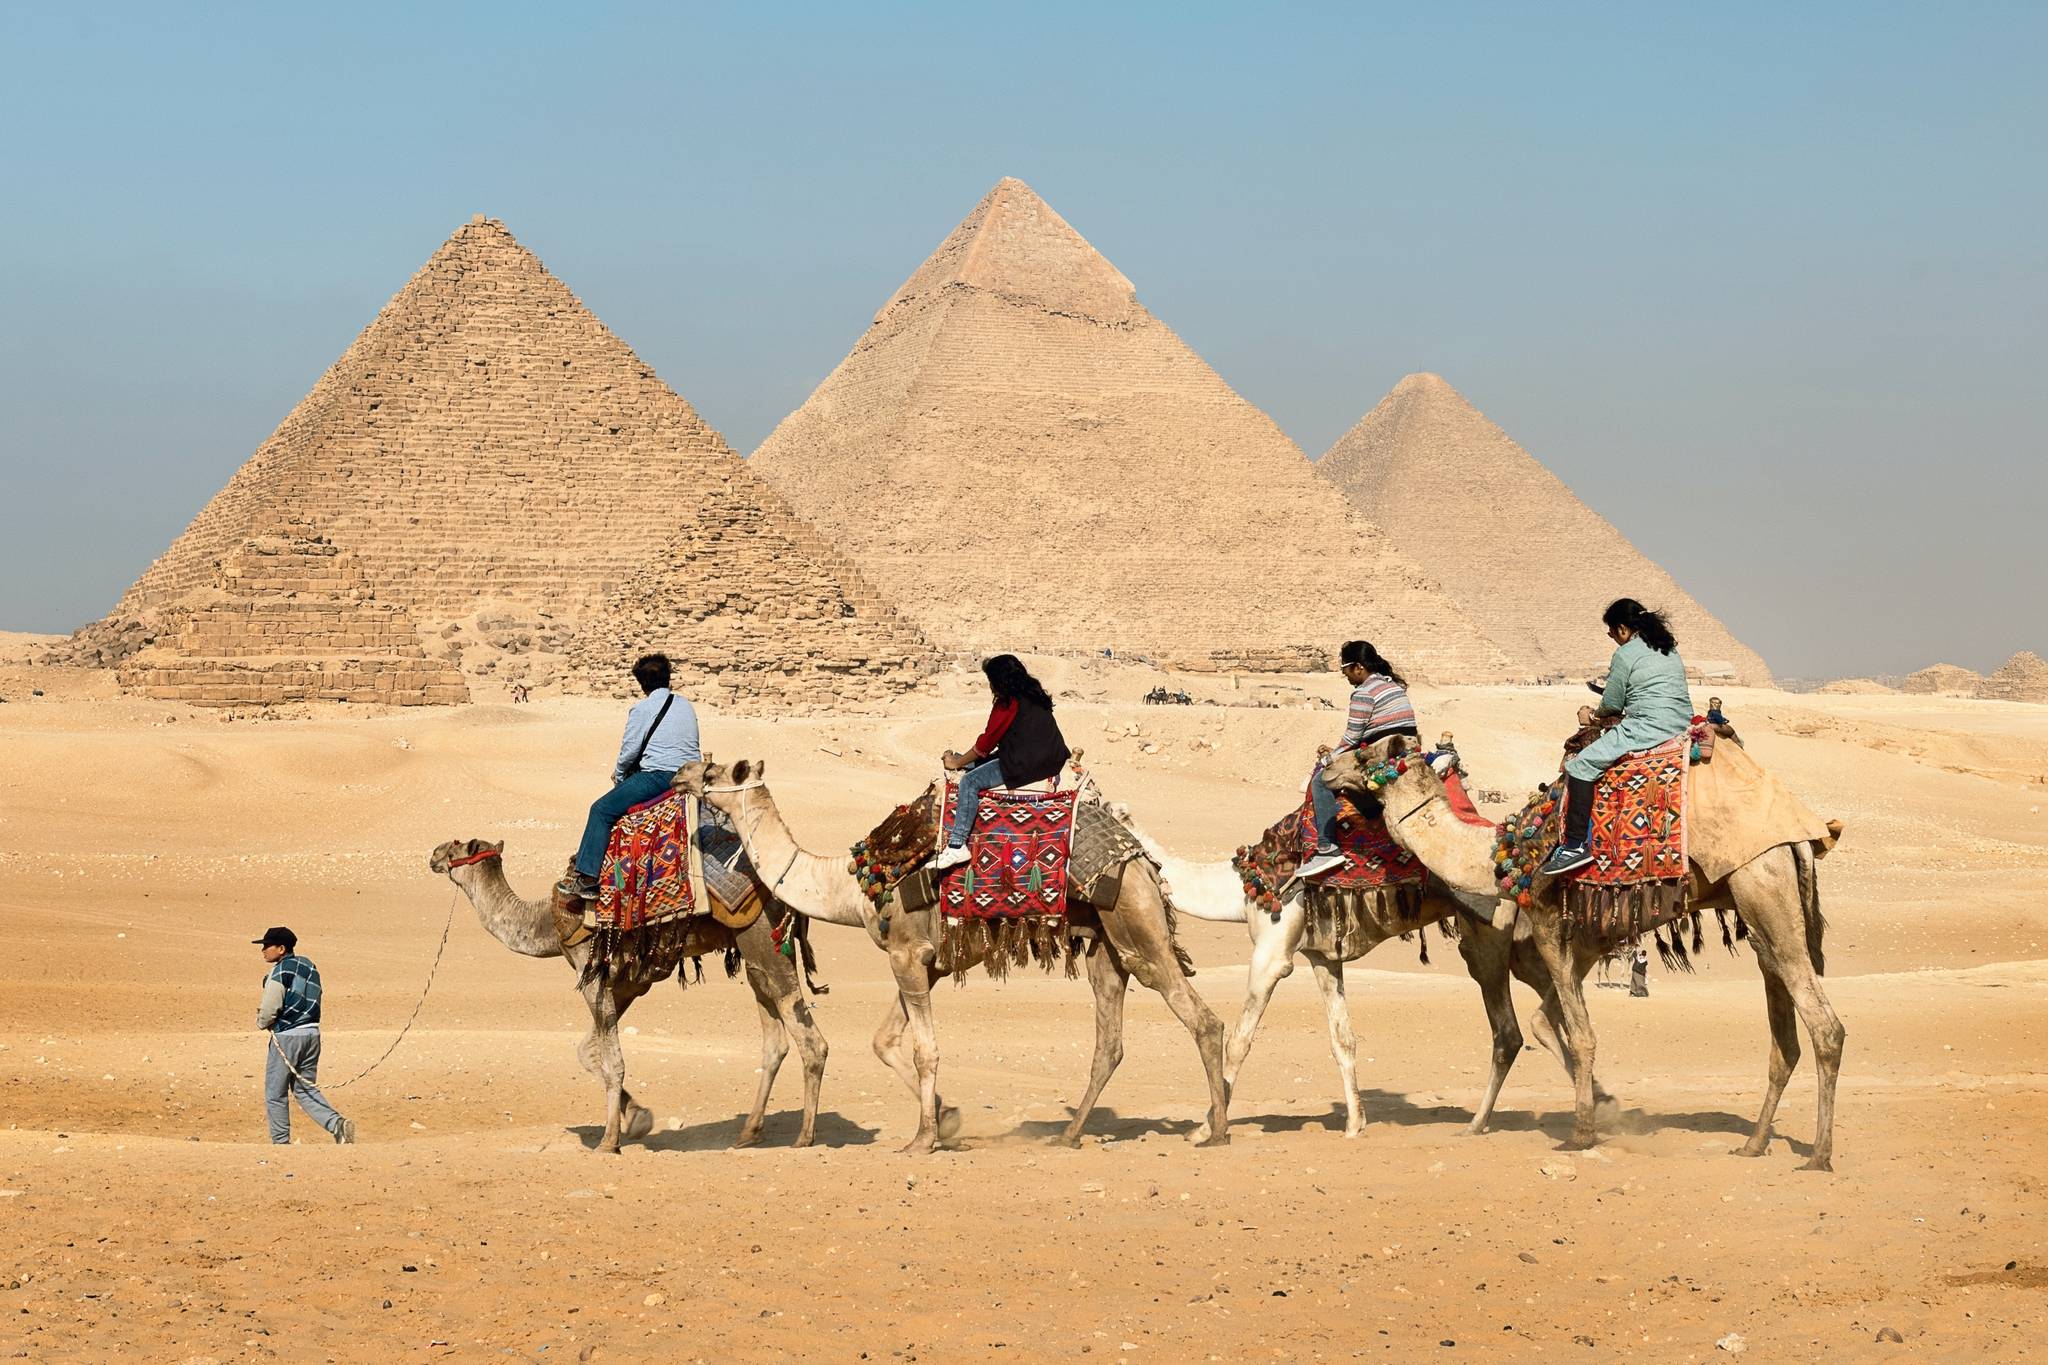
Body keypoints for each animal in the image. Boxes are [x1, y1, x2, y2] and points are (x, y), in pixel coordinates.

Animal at [428, 834, 827, 1154]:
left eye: (457, 846)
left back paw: (804, 1137)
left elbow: (613, 1062)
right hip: (753, 954)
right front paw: (637, 1118)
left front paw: (609, 1141)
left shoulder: (591, 975)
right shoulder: (628, 984)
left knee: (812, 1041)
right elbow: (588, 1052)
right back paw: (749, 1132)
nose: (433, 853)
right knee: (775, 1041)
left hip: (763, 939)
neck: (546, 923)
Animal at [700, 757, 1228, 1154]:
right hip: (1106, 943)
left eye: (718, 772)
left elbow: (925, 1051)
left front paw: (924, 1139)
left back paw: (1216, 1131)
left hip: (1136, 923)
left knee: (1201, 1019)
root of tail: (1141, 859)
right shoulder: (924, 962)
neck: (851, 887)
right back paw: (1071, 1133)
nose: (686, 772)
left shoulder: (907, 954)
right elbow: (885, 1042)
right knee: (1109, 1042)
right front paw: (944, 1119)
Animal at [1318, 740, 1851, 1170]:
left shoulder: (1550, 921)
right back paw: (1754, 1144)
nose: (1326, 768)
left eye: (1363, 755)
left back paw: (1819, 1156)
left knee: (1826, 1026)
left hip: (1761, 882)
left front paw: (1581, 1132)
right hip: (1758, 912)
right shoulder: (1581, 941)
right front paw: (1600, 1109)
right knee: (1784, 1037)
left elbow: (1580, 1034)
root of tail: (1803, 835)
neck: (1500, 855)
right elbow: (1553, 1021)